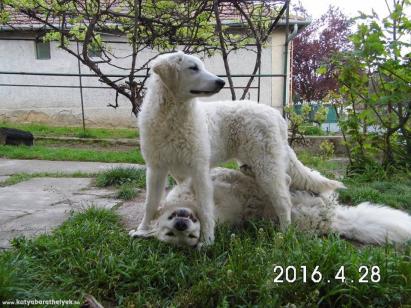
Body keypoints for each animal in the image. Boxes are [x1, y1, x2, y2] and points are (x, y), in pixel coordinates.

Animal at [130, 52, 342, 245]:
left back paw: (284, 235)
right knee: (286, 180)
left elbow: (205, 208)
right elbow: (151, 204)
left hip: (265, 164)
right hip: (261, 162)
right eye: (193, 68)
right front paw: (142, 230)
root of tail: (275, 114)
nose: (221, 82)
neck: (172, 118)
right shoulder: (157, 169)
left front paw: (207, 240)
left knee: (283, 200)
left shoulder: (199, 171)